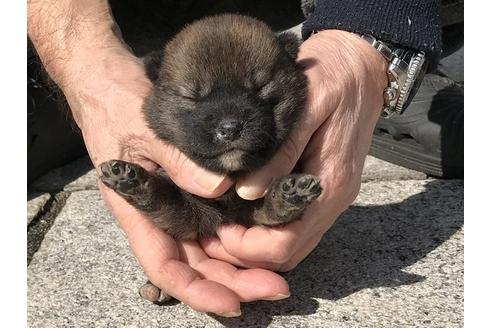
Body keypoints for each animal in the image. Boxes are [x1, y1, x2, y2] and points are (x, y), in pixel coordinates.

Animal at [100, 14, 322, 304]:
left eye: (260, 87)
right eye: (192, 97)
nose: (230, 128)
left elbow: (271, 209)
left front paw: (290, 193)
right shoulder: (189, 214)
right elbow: (161, 195)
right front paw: (131, 179)